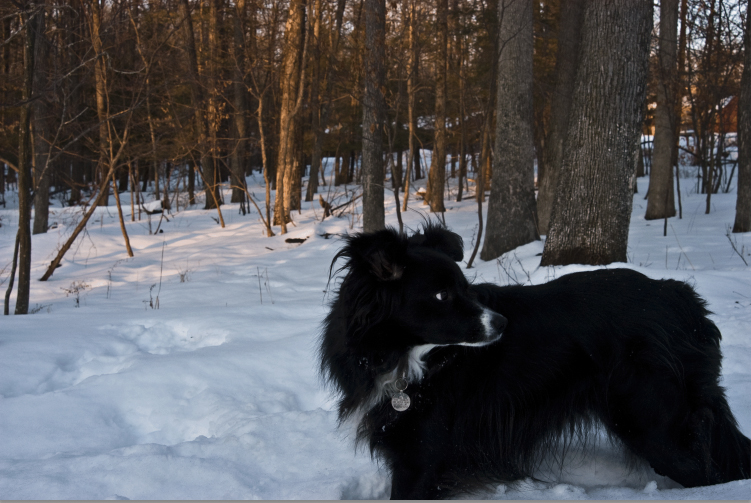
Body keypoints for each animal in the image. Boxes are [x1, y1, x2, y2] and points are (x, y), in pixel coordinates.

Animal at [318, 227, 751, 500]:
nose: (502, 324)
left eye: (465, 288)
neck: (406, 358)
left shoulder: (421, 456)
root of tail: (682, 299)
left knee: (709, 473)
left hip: (652, 422)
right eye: (441, 296)